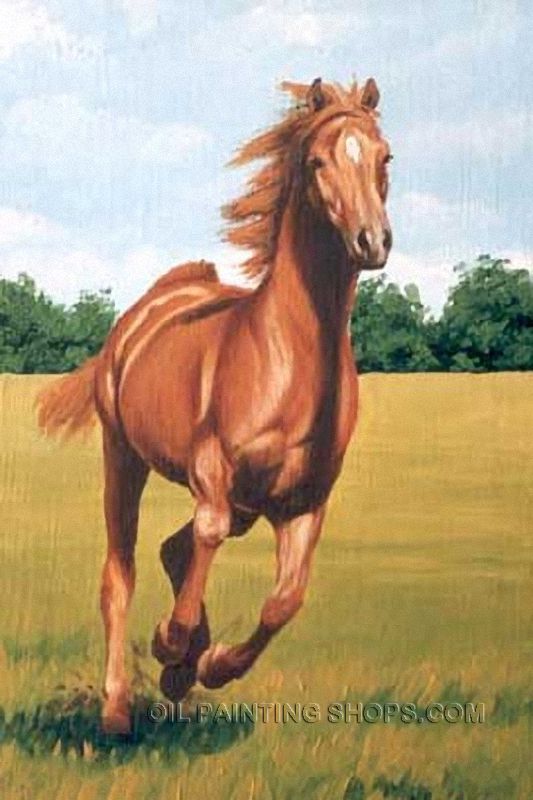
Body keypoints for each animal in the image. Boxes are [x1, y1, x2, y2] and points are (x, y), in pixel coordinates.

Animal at [37, 76, 393, 734]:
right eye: (318, 161)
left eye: (385, 158)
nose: (372, 240)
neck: (287, 357)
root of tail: (152, 303)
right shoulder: (212, 471)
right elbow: (206, 536)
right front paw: (172, 642)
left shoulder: (304, 503)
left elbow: (284, 601)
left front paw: (210, 663)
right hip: (123, 457)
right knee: (121, 572)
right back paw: (118, 709)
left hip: (248, 503)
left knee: (171, 548)